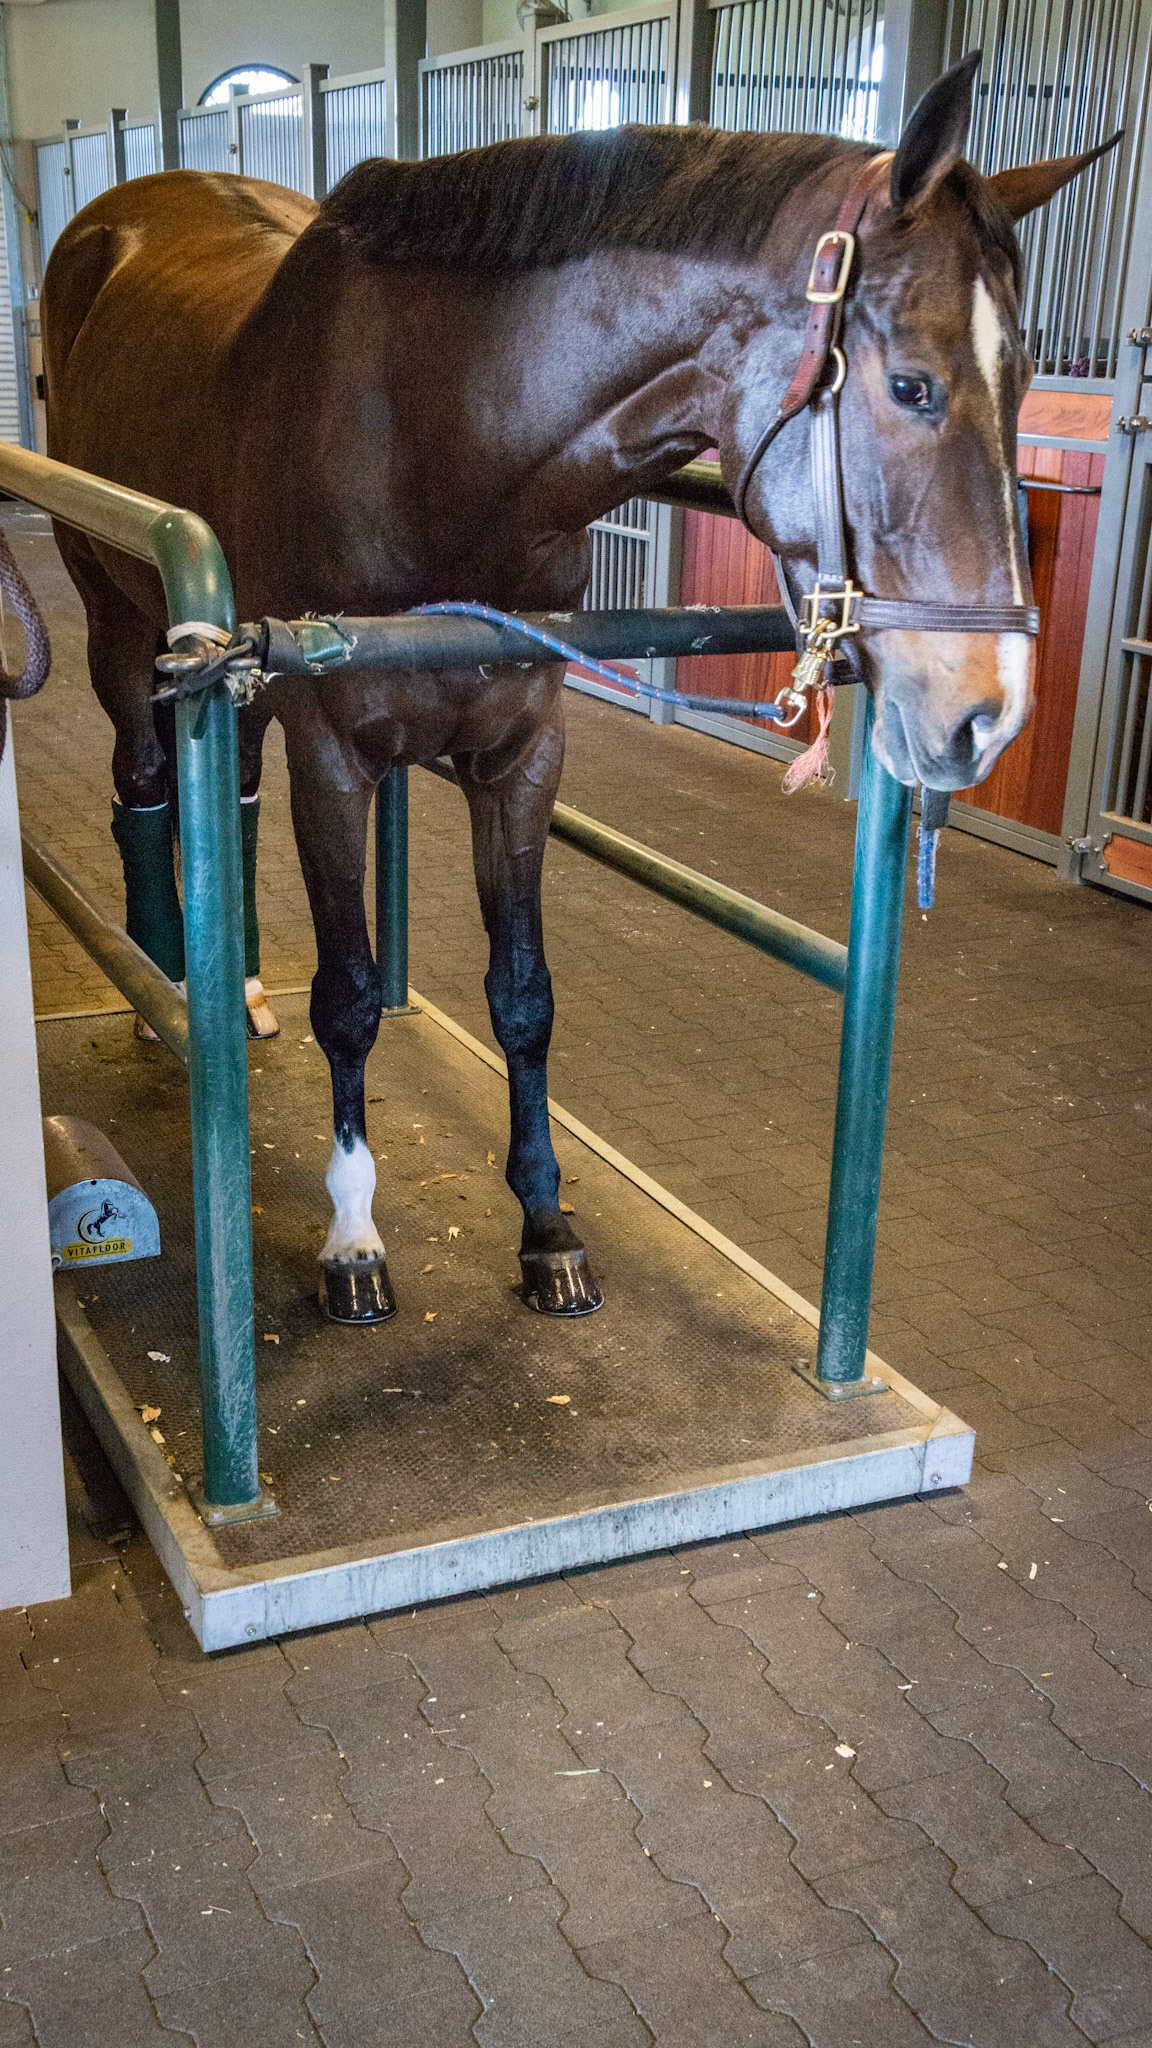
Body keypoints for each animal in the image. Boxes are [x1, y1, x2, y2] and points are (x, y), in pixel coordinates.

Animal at [41, 54, 1104, 1325]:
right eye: (913, 384)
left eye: (1030, 377)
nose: (986, 714)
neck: (437, 430)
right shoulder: (334, 756)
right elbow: (349, 994)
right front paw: (353, 1238)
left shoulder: (523, 752)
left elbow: (524, 993)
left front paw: (547, 1225)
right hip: (121, 629)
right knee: (145, 784)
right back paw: (165, 981)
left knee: (230, 799)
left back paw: (233, 984)